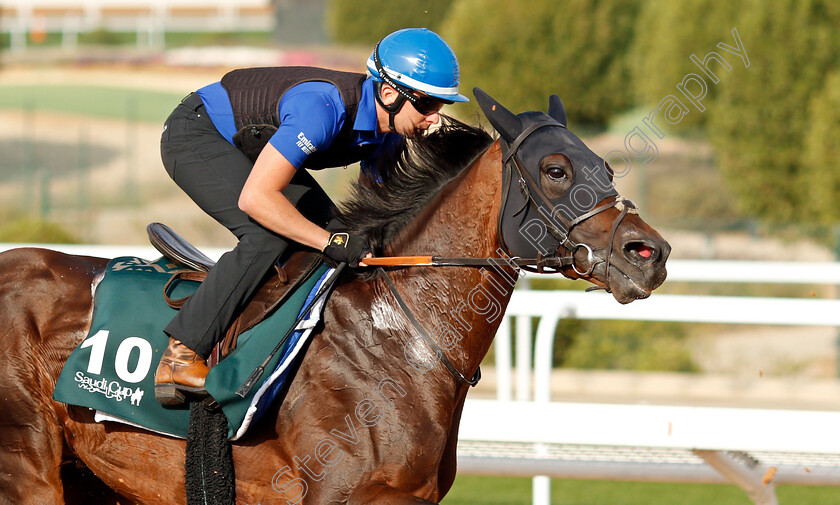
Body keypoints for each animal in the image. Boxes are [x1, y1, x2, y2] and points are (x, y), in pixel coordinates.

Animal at [0, 90, 668, 504]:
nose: (650, 253)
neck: (398, 339)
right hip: (28, 471)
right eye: (556, 170)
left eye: (606, 168)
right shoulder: (341, 489)